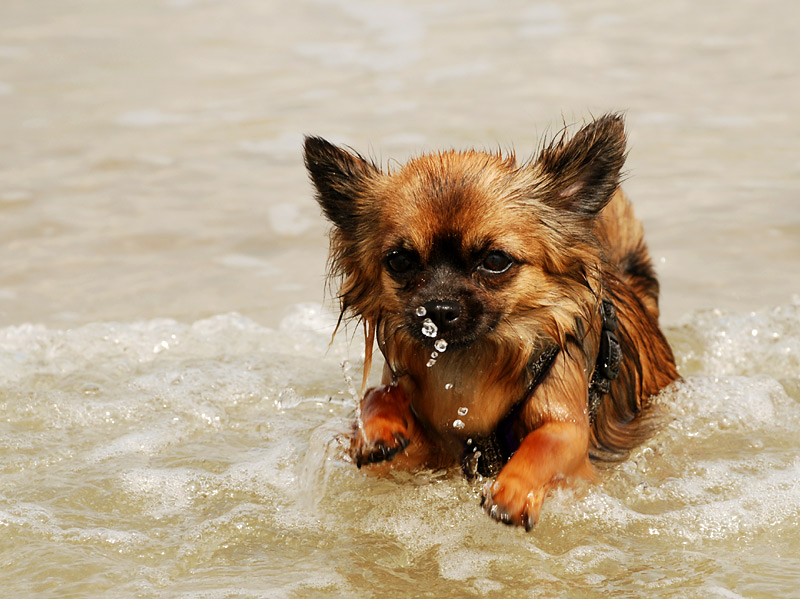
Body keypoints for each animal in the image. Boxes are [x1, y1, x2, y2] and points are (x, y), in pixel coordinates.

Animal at [304, 113, 680, 528]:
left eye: (496, 261)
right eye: (399, 260)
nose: (438, 308)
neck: (469, 361)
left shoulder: (569, 424)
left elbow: (547, 441)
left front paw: (512, 491)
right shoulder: (430, 445)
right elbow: (379, 394)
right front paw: (375, 429)